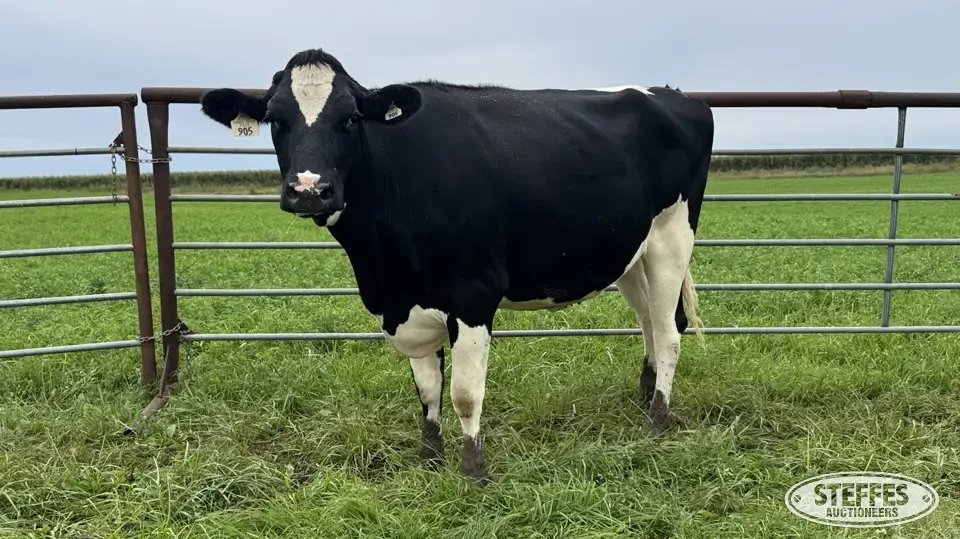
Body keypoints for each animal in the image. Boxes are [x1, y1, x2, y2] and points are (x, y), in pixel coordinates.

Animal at [198, 48, 714, 484]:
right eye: (275, 119)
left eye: (350, 119)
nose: (309, 189)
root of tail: (673, 93)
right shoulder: (404, 302)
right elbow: (428, 389)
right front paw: (430, 460)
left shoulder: (473, 293)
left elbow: (465, 391)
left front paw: (473, 472)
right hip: (631, 252)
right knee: (649, 322)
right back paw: (643, 398)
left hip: (672, 234)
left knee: (669, 329)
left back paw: (656, 422)